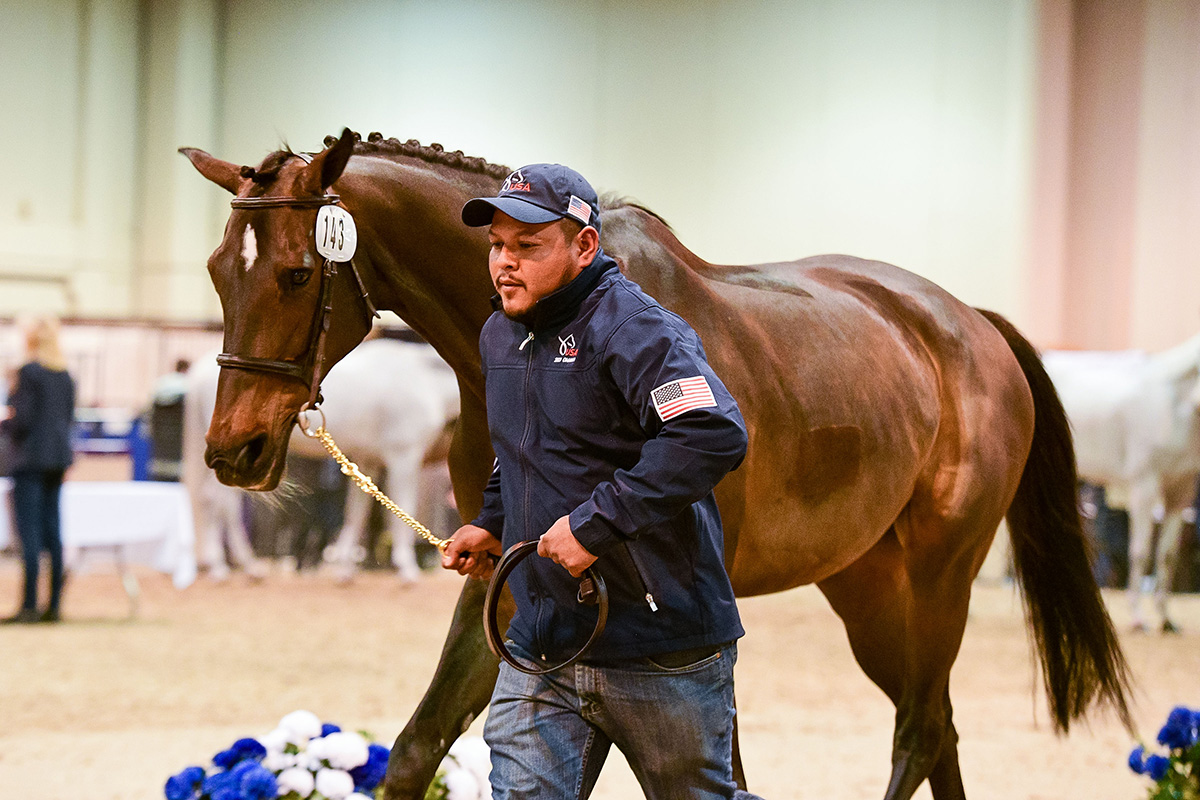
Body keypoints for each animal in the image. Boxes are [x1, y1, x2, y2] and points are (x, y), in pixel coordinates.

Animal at [182, 335, 458, 582]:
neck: (425, 381)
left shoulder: (367, 462)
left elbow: (356, 513)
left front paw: (345, 569)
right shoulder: (404, 458)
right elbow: (401, 511)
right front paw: (407, 569)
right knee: (219, 502)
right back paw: (235, 567)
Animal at [1041, 333, 1200, 633]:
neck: (1177, 402)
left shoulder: (1181, 492)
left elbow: (1167, 557)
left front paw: (1166, 620)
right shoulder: (1144, 487)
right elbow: (1139, 553)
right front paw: (1138, 617)